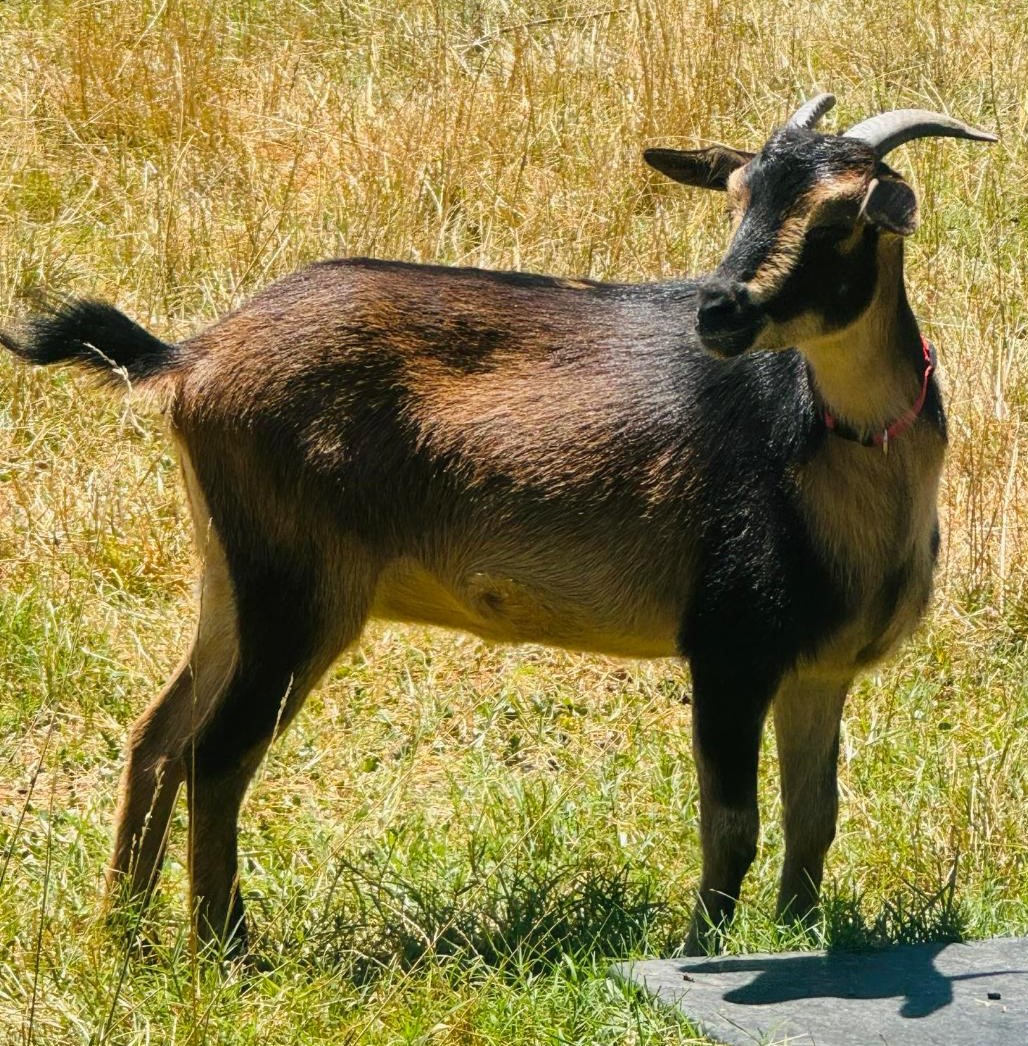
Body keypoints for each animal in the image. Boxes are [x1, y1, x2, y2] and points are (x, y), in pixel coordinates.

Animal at [0, 96, 995, 958]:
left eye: (842, 216)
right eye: (739, 194)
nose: (718, 311)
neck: (831, 450)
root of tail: (191, 356)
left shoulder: (818, 666)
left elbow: (814, 819)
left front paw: (798, 939)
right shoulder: (727, 644)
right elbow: (733, 825)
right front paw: (701, 951)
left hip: (231, 578)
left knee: (157, 737)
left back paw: (124, 934)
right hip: (297, 592)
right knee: (215, 755)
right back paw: (227, 951)